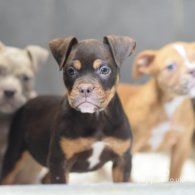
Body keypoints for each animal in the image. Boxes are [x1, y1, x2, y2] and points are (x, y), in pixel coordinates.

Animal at [118, 42, 195, 181]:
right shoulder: (131, 147)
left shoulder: (182, 146)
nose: (193, 70)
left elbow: (175, 173)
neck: (170, 105)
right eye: (171, 66)